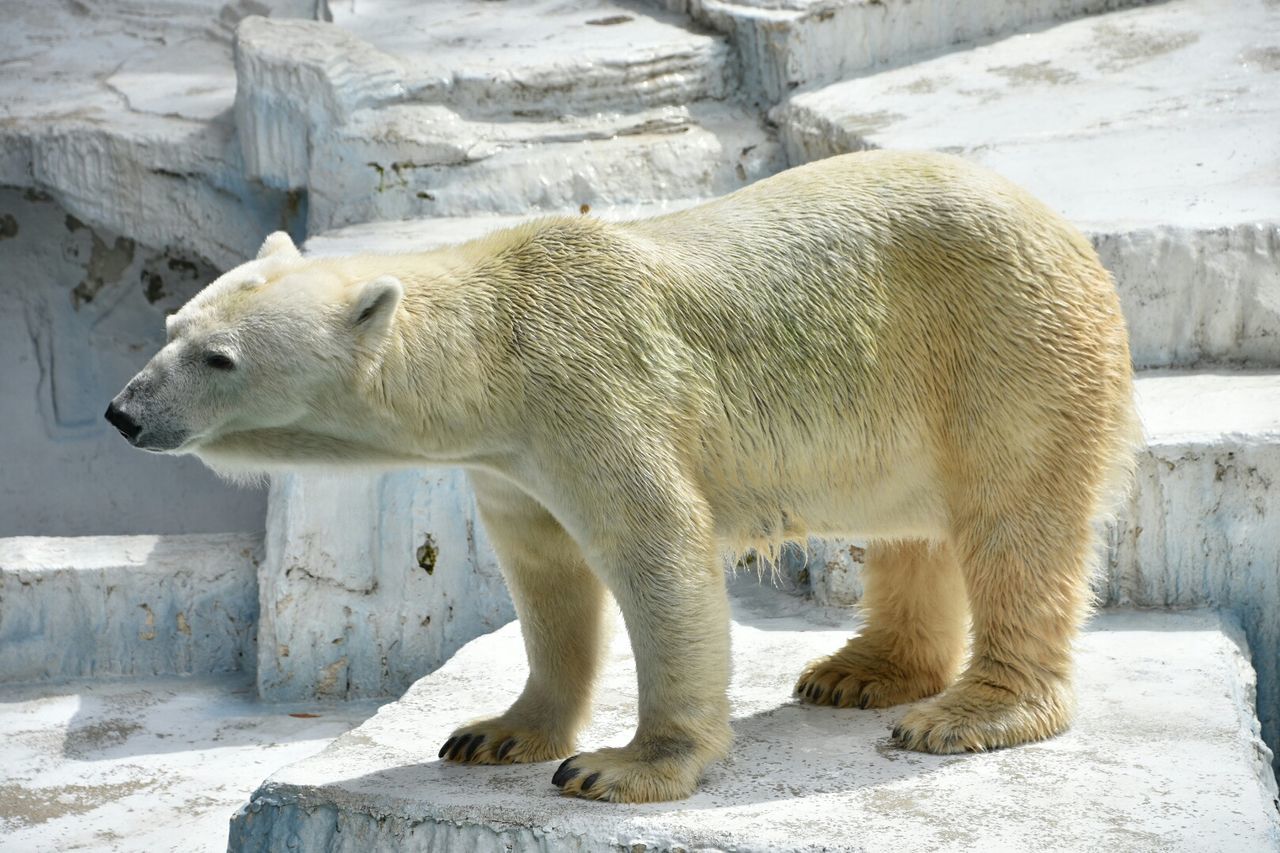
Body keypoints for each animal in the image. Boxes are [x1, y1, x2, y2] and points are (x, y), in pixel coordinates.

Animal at [104, 149, 1136, 799]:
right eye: (170, 327)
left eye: (220, 358)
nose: (123, 412)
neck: (502, 350)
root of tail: (1070, 235)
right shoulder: (512, 460)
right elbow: (546, 577)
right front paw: (496, 733)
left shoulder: (594, 394)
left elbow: (659, 555)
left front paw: (622, 767)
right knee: (913, 529)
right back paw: (859, 673)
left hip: (1005, 342)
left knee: (1015, 521)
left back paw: (965, 711)